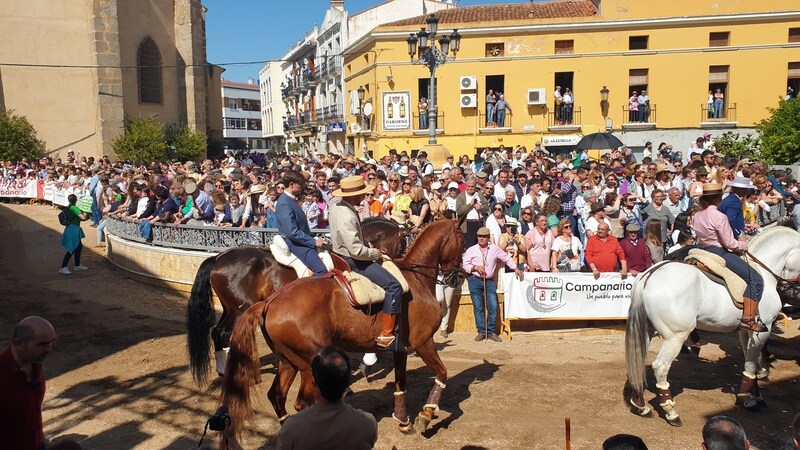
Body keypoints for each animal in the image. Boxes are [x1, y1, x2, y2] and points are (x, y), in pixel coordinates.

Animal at [188, 216, 406, 384]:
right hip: (239, 309)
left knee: (217, 332)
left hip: (230, 308)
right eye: (403, 239)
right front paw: (368, 361)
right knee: (223, 333)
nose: (403, 261)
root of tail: (218, 257)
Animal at [222, 220, 466, 434]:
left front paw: (404, 421)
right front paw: (426, 415)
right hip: (307, 365)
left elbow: (400, 384)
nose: (459, 277)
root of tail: (269, 302)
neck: (415, 279)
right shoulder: (423, 342)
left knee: (277, 396)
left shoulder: (401, 349)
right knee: (302, 404)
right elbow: (442, 373)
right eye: (462, 243)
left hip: (288, 362)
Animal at [624, 227, 800, 428]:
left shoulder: (745, 331)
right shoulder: (764, 330)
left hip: (647, 330)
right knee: (661, 367)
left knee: (637, 360)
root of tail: (649, 276)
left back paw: (640, 404)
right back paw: (671, 412)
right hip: (675, 337)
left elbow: (751, 362)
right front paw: (747, 398)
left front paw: (756, 395)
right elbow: (751, 364)